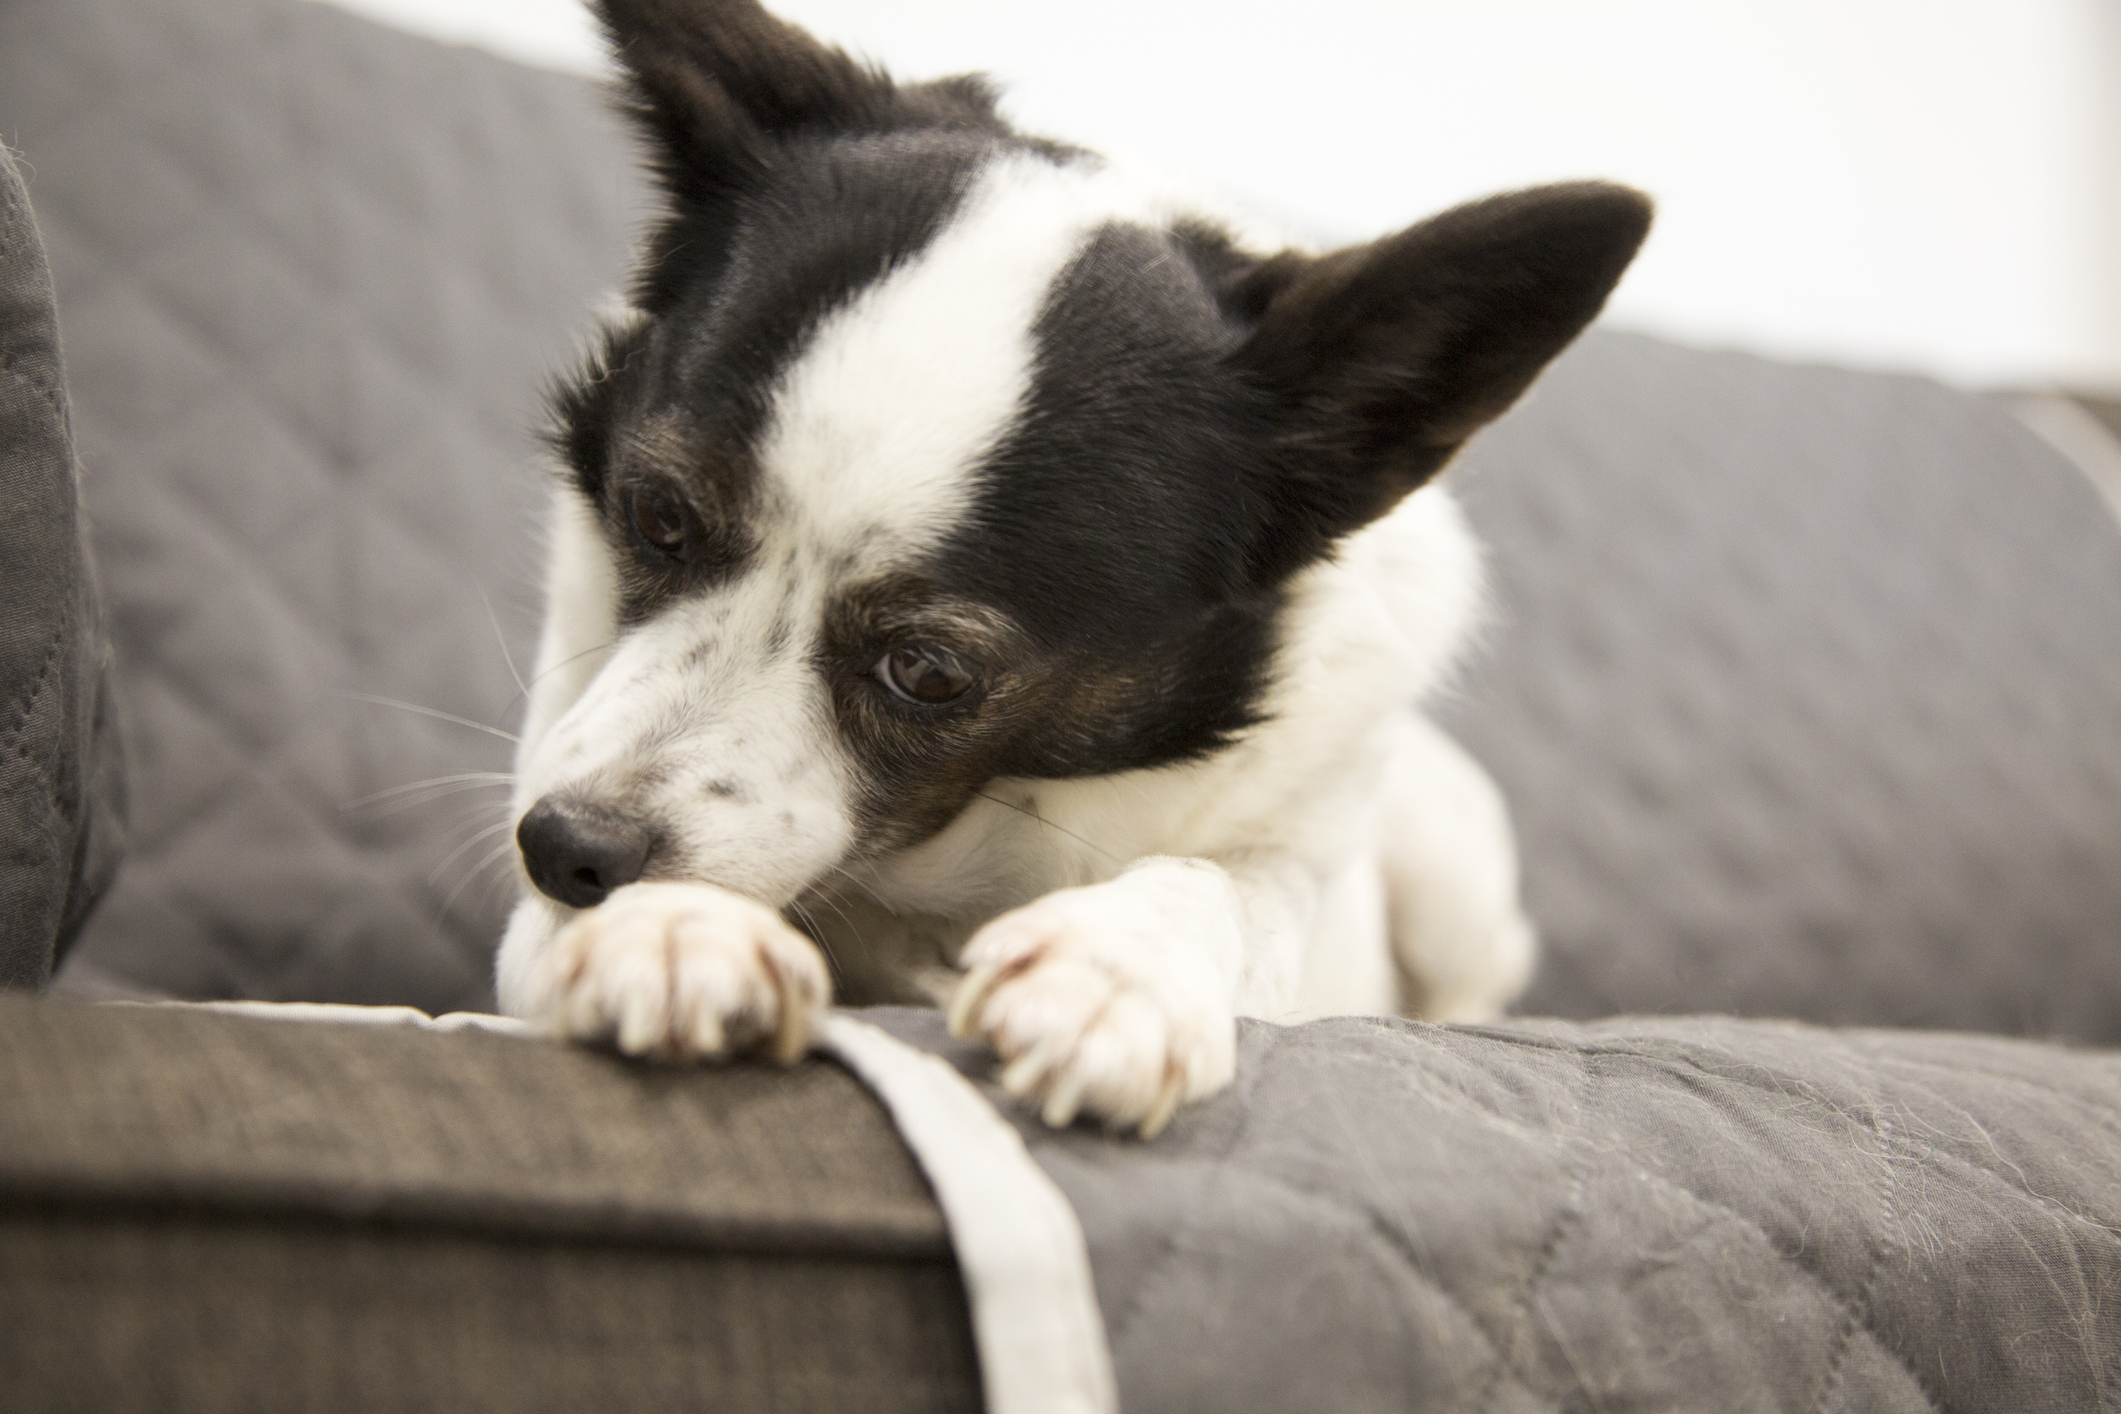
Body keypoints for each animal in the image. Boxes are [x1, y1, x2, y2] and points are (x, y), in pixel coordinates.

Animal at [492, 0, 1637, 1136]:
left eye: (928, 672)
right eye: (659, 519)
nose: (567, 848)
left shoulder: (1297, 861)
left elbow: (1224, 882)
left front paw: (1120, 967)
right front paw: (665, 927)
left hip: (1453, 870)